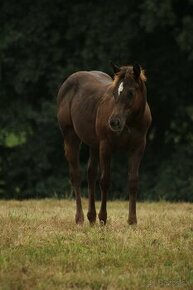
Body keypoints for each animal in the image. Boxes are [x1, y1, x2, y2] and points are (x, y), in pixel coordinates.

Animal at [57, 63, 152, 225]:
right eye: (114, 92)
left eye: (131, 93)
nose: (114, 122)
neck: (130, 123)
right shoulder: (106, 147)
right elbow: (105, 181)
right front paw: (103, 218)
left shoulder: (138, 148)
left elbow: (133, 181)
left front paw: (132, 221)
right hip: (71, 137)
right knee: (76, 175)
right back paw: (80, 218)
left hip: (94, 144)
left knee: (91, 173)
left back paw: (91, 217)